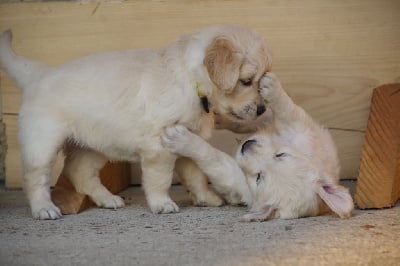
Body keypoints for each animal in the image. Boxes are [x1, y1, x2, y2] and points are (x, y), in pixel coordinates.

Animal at [0, 26, 272, 219]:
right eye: (246, 81)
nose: (262, 109)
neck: (191, 78)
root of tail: (38, 74)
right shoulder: (158, 147)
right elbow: (160, 178)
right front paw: (162, 203)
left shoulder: (185, 139)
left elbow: (195, 174)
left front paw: (206, 198)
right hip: (42, 142)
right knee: (35, 177)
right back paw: (43, 208)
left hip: (95, 144)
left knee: (80, 172)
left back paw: (108, 199)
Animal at [161, 72, 354, 220]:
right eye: (281, 154)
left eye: (258, 178)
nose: (248, 145)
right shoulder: (303, 133)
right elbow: (286, 110)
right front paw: (272, 89)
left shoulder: (235, 178)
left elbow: (211, 156)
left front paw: (181, 139)